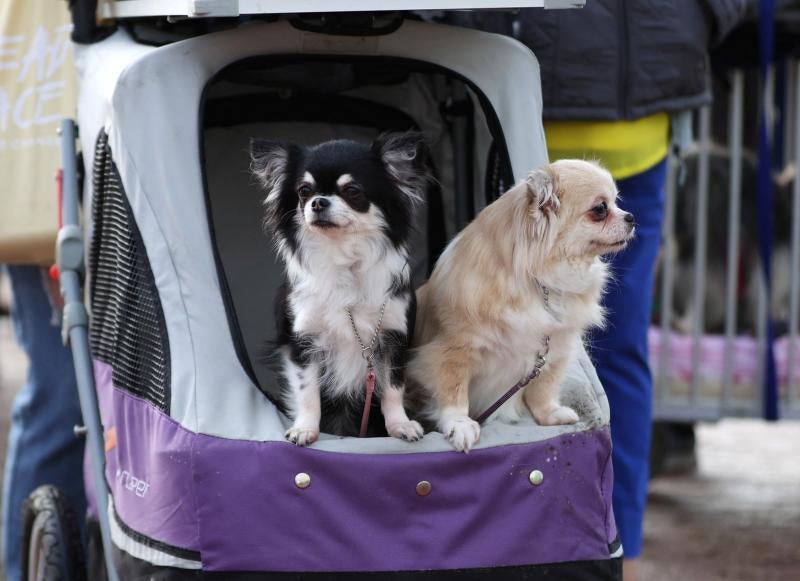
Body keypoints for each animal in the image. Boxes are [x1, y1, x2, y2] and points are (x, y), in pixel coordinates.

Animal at [410, 160, 636, 454]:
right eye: (600, 209)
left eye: (617, 202)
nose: (631, 217)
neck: (541, 284)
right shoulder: (449, 352)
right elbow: (453, 392)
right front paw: (460, 425)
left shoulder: (555, 349)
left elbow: (543, 387)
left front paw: (550, 414)